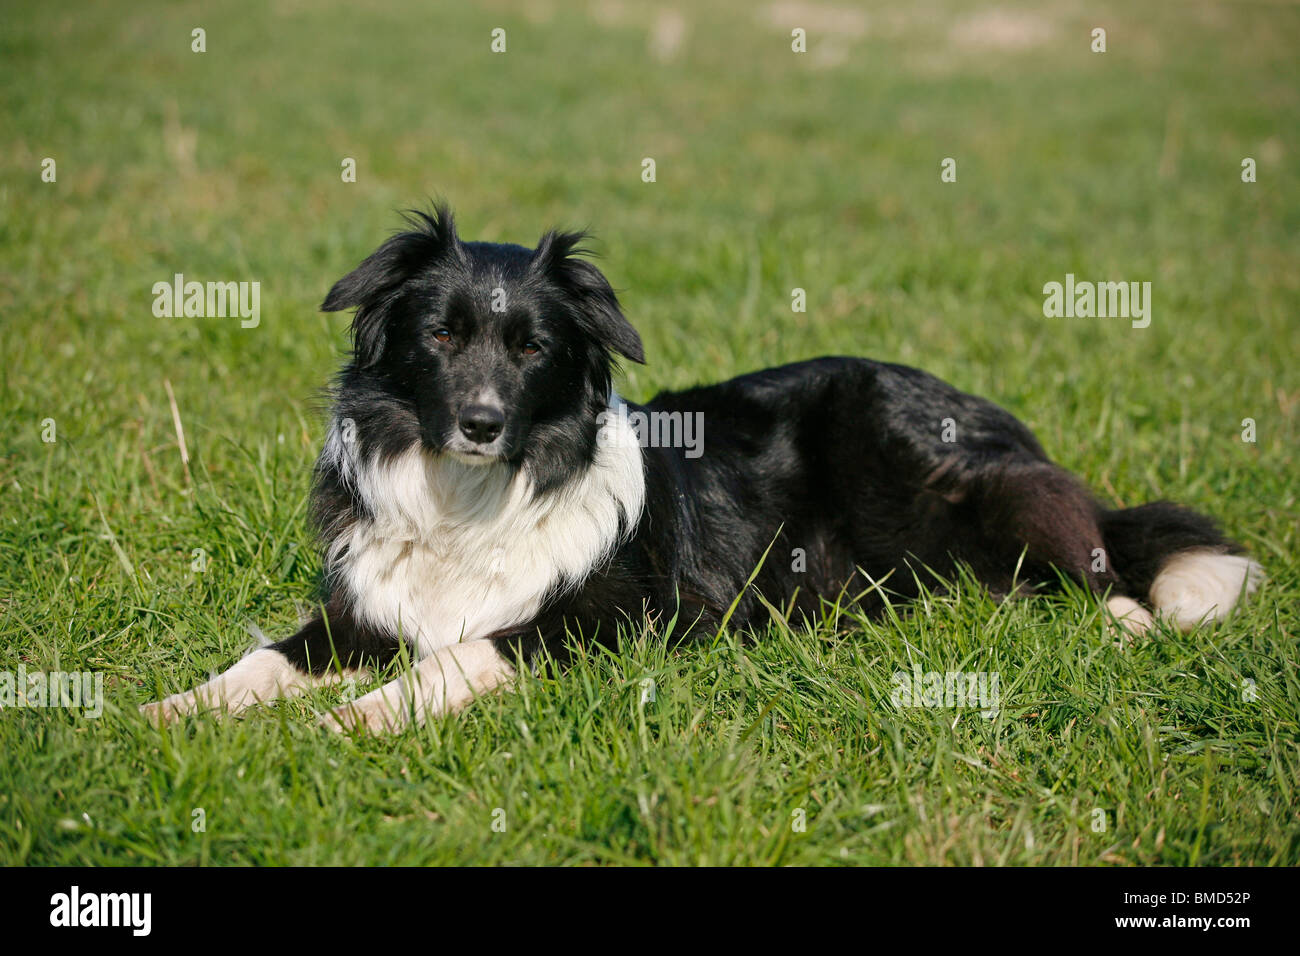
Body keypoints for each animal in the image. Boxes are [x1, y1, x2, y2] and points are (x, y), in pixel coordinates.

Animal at [139, 208, 1258, 733]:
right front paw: (159, 719)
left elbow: (454, 658)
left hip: (947, 485)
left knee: (1098, 562)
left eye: (533, 347)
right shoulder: (361, 612)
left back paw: (1124, 625)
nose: (481, 423)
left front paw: (348, 720)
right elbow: (257, 666)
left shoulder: (602, 623)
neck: (470, 498)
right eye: (442, 334)